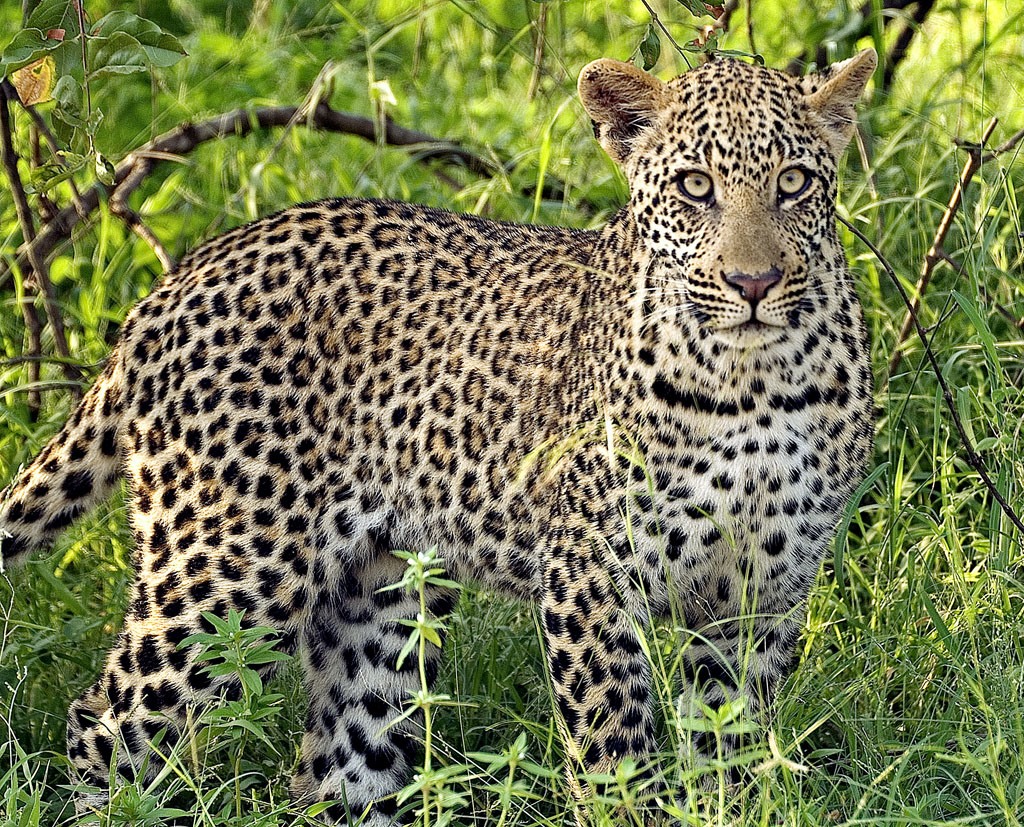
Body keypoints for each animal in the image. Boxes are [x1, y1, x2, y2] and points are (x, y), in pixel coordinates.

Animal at [0, 50, 877, 823]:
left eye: (794, 183)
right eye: (696, 187)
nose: (754, 283)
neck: (752, 383)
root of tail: (174, 280)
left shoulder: (762, 597)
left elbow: (729, 753)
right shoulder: (592, 579)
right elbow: (614, 753)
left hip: (380, 597)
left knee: (338, 765)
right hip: (226, 572)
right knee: (104, 724)